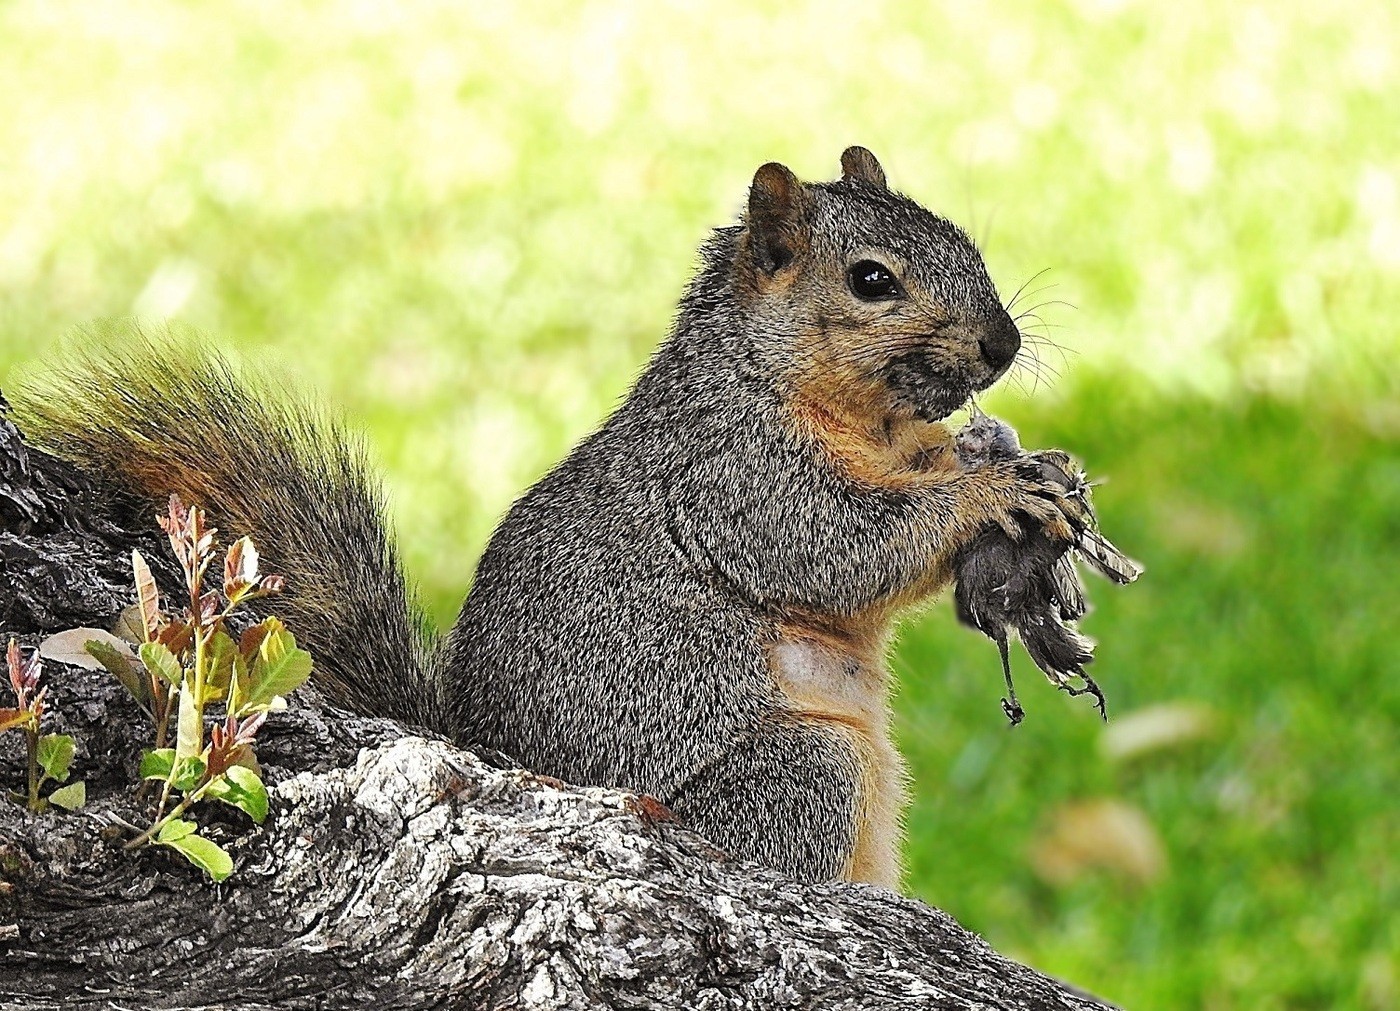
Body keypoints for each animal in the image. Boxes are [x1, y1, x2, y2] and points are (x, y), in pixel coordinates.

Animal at [10, 145, 1075, 884]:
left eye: (963, 239)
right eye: (871, 280)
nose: (1002, 344)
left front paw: (1010, 455)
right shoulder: (731, 475)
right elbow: (838, 550)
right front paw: (989, 490)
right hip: (798, 772)